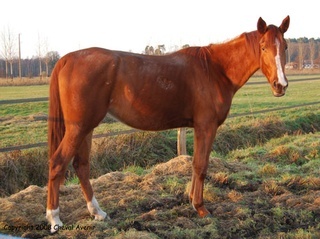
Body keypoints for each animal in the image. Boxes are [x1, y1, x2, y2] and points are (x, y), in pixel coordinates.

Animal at [47, 16, 290, 232]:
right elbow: (201, 166)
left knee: (81, 166)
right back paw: (54, 218)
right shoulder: (206, 127)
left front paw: (192, 200)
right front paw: (200, 208)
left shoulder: (199, 128)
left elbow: (195, 164)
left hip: (86, 128)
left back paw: (97, 212)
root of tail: (67, 59)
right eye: (263, 47)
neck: (215, 69)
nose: (280, 85)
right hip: (78, 128)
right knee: (58, 163)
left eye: (285, 46)